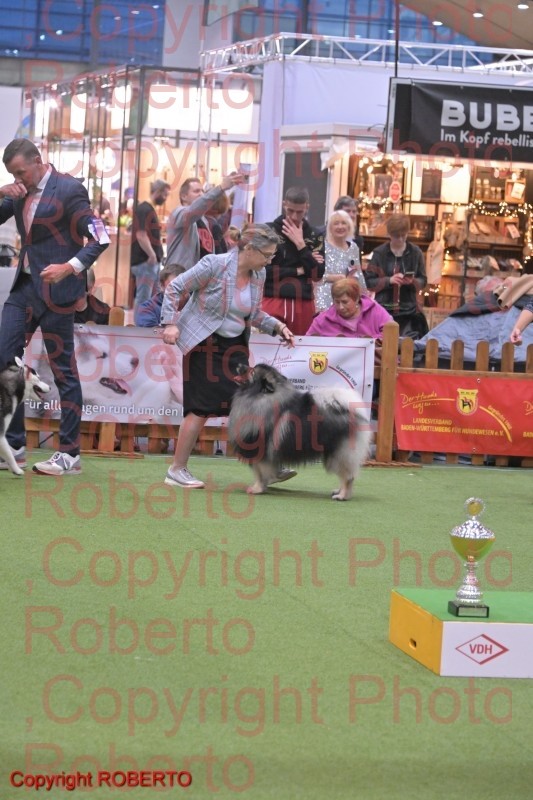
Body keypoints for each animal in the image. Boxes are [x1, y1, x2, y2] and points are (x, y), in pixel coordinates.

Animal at [228, 363, 371, 500]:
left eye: (252, 371)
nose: (239, 365)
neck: (259, 397)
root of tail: (349, 410)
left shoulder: (259, 451)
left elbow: (259, 473)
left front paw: (257, 489)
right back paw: (338, 491)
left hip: (339, 454)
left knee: (347, 477)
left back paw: (342, 496)